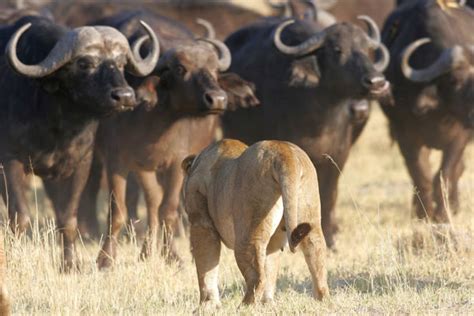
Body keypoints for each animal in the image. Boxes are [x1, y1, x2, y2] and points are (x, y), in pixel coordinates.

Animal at [0, 16, 159, 270]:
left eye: (121, 63)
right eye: (85, 63)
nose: (124, 96)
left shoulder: (80, 164)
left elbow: (68, 218)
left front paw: (70, 263)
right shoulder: (10, 160)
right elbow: (20, 216)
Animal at [221, 16, 388, 247]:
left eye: (365, 48)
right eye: (338, 49)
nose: (376, 82)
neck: (320, 118)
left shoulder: (338, 156)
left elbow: (328, 195)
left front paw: (329, 238)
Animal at [382, 0, 474, 222]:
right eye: (455, 79)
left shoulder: (460, 136)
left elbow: (445, 173)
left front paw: (443, 215)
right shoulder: (405, 135)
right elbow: (420, 174)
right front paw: (424, 213)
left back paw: (454, 205)